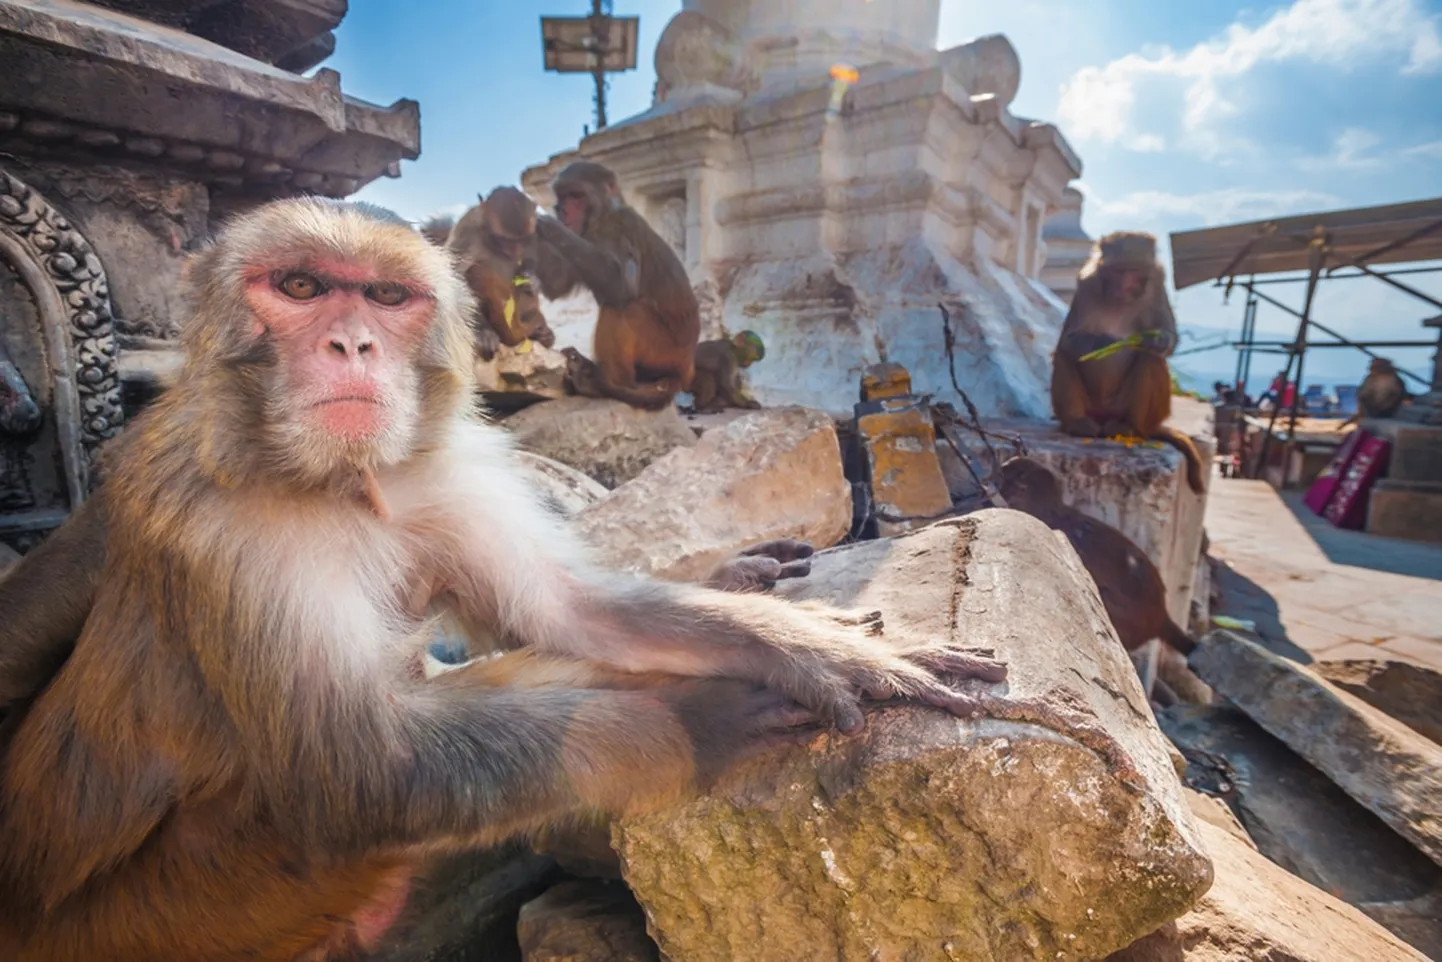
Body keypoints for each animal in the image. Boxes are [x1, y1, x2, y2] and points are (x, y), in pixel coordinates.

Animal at [447, 186, 553, 359]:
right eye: (505, 240)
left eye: (521, 240)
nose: (514, 251)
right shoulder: (468, 230)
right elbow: (455, 276)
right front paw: (484, 331)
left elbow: (529, 256)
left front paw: (532, 281)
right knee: (478, 271)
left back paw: (541, 333)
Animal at [539, 161, 700, 409]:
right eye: (563, 195)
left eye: (576, 195)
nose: (561, 210)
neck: (601, 216)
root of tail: (688, 365)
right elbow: (556, 284)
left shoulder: (617, 229)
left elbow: (622, 286)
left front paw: (548, 227)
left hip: (665, 352)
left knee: (623, 308)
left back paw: (611, 385)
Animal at [1049, 229, 1205, 493]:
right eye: (1118, 271)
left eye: (1134, 271)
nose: (1125, 286)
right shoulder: (1086, 285)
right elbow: (1068, 341)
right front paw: (1105, 342)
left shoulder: (1157, 288)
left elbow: (1167, 340)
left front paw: (1154, 340)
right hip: (1092, 407)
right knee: (1064, 355)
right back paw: (1077, 423)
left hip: (1135, 410)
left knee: (1150, 359)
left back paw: (1129, 427)